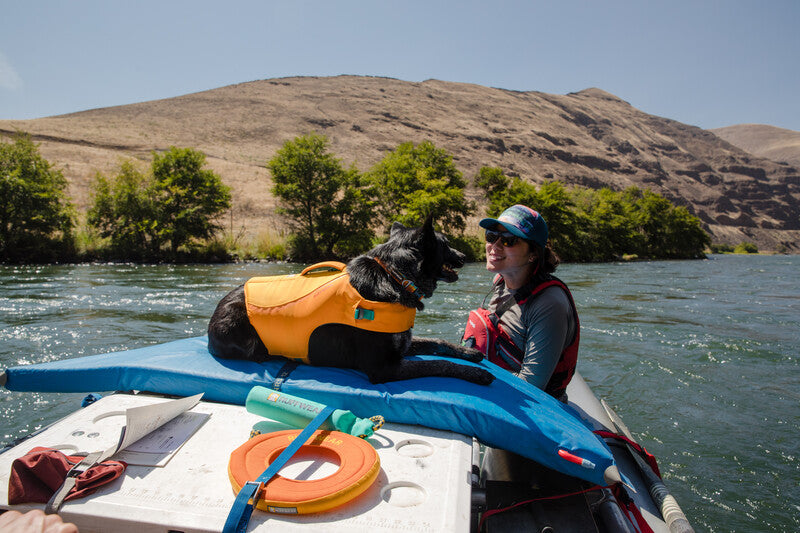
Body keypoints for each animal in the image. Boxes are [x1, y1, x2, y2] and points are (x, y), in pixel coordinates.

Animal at [206, 215, 494, 382]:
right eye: (445, 244)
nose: (465, 257)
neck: (395, 276)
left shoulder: (403, 344)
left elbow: (437, 343)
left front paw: (468, 353)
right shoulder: (384, 368)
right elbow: (439, 364)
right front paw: (476, 374)